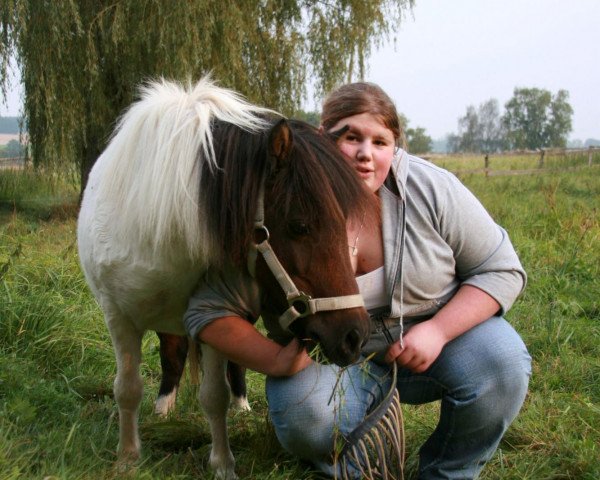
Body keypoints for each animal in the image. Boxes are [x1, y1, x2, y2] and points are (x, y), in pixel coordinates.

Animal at [77, 77, 372, 478]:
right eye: (299, 226)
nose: (355, 336)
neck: (164, 225)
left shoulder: (216, 316)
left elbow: (214, 396)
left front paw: (222, 464)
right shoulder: (118, 315)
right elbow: (127, 387)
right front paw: (127, 457)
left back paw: (241, 405)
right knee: (173, 354)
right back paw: (164, 407)